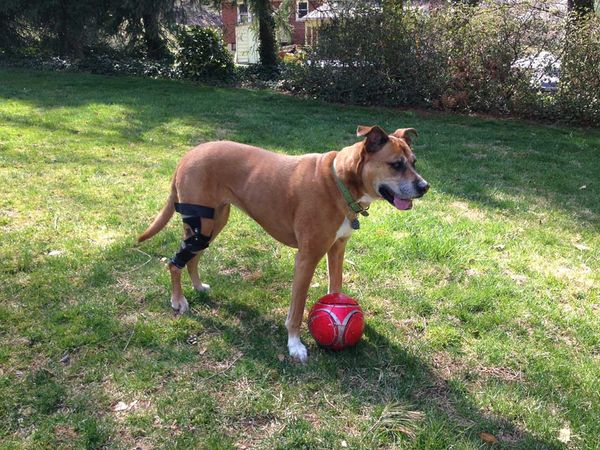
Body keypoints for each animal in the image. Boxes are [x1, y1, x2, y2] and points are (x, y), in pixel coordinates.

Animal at [138, 125, 428, 362]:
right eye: (396, 165)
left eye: (414, 162)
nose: (425, 186)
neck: (339, 182)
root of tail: (187, 156)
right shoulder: (307, 258)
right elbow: (296, 311)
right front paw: (294, 345)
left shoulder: (337, 250)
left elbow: (336, 288)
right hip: (200, 225)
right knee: (175, 262)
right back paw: (178, 300)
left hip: (214, 222)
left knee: (194, 258)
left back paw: (198, 287)